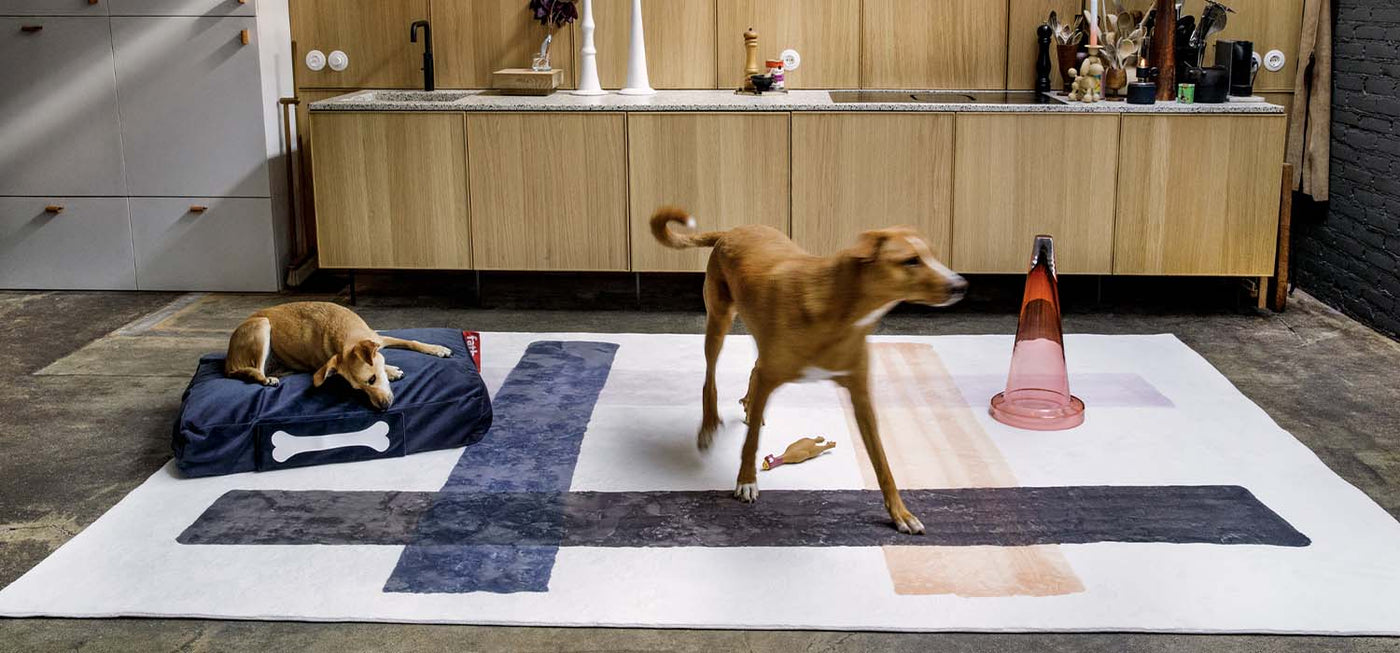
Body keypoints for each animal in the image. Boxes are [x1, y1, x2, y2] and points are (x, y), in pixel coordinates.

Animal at [224, 301, 452, 410]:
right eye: (358, 390)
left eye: (372, 379)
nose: (383, 408)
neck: (347, 334)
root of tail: (227, 362)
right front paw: (392, 371)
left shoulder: (378, 337)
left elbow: (411, 342)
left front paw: (437, 349)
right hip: (261, 326)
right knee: (255, 371)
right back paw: (267, 379)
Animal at [651, 206, 967, 534]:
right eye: (911, 260)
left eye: (933, 254)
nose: (960, 285)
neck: (840, 306)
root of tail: (730, 232)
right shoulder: (771, 375)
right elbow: (750, 443)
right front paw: (746, 481)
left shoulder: (861, 396)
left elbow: (882, 463)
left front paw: (901, 513)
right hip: (719, 320)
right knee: (710, 378)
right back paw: (709, 425)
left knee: (753, 370)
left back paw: (750, 408)